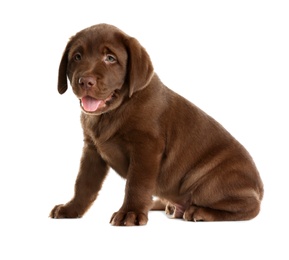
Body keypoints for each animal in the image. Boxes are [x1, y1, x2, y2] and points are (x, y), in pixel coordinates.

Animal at [50, 23, 264, 224]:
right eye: (77, 57)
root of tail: (260, 187)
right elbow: (84, 183)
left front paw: (130, 213)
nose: (85, 81)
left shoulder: (146, 148)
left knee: (249, 207)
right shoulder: (92, 149)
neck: (112, 113)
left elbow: (137, 183)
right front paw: (71, 209)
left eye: (110, 58)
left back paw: (199, 212)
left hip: (211, 183)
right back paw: (166, 205)